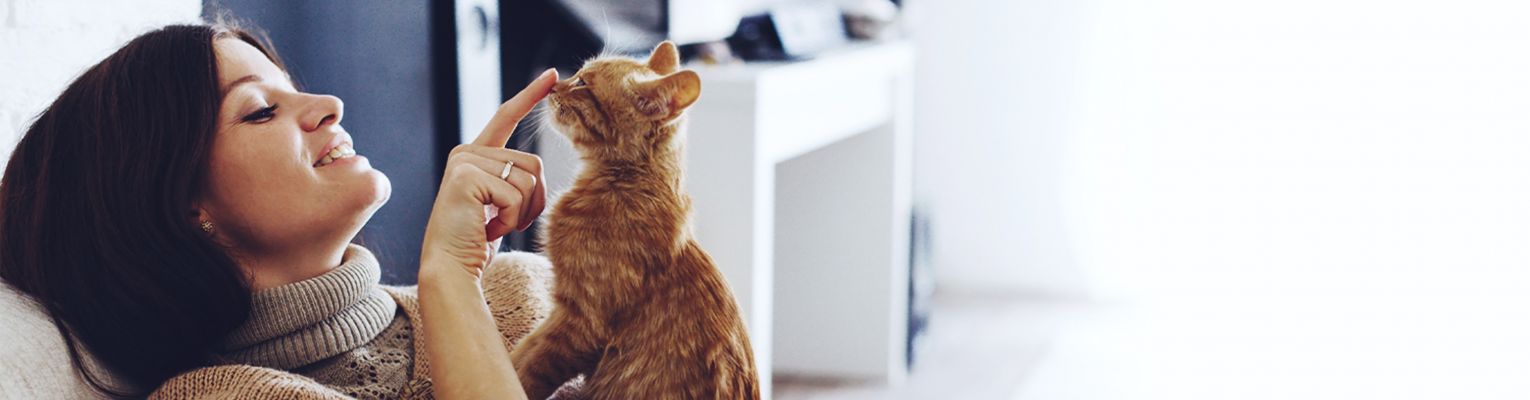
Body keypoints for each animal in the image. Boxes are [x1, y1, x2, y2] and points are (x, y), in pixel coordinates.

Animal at [514, 41, 758, 398]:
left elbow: (528, 370)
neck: (624, 184)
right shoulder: (561, 314)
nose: (554, 85)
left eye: (583, 83)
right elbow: (522, 349)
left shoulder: (580, 322)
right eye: (577, 74)